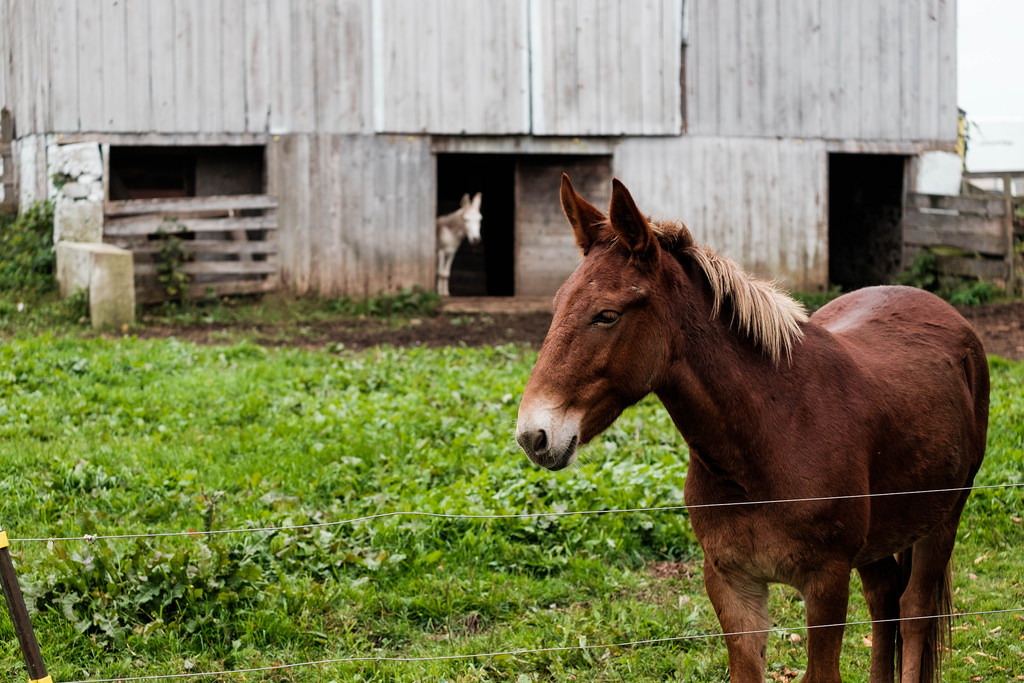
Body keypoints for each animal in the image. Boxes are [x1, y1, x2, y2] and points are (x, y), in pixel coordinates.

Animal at [516, 174, 987, 679]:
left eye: (607, 314)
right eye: (557, 305)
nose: (533, 435)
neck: (770, 438)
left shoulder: (826, 585)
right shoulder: (731, 583)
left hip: (945, 517)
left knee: (916, 611)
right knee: (885, 600)